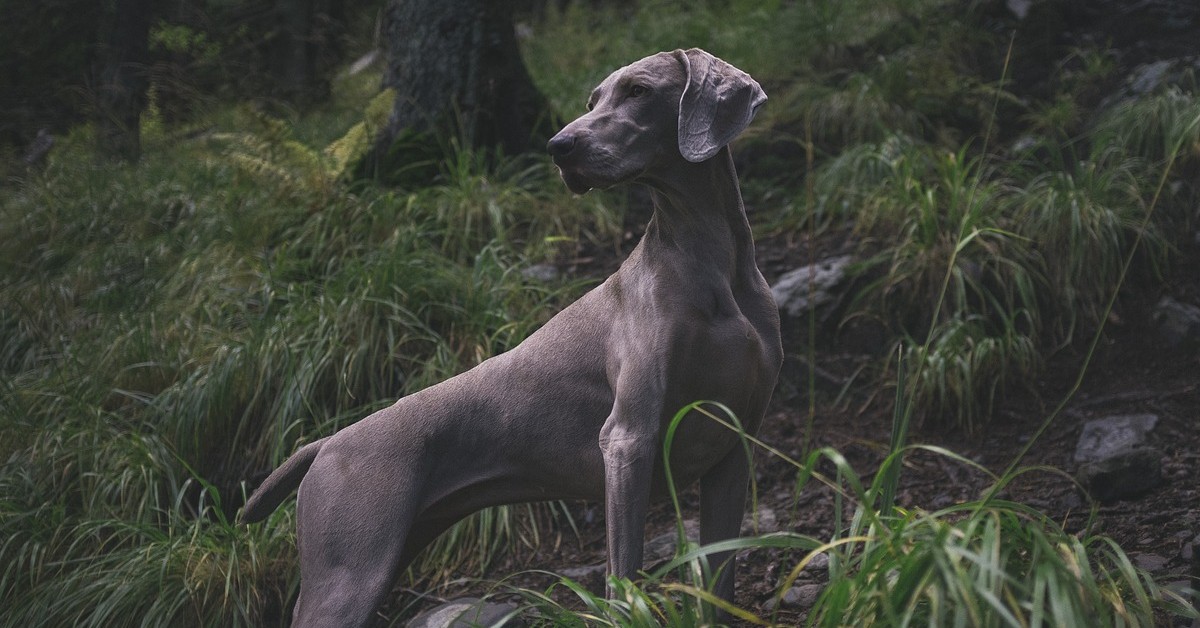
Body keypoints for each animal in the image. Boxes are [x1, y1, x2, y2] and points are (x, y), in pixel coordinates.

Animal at [243, 48, 787, 624]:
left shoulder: (734, 447)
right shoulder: (628, 440)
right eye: (592, 100)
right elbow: (624, 577)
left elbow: (721, 579)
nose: (558, 146)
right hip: (348, 574)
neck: (710, 261)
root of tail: (325, 443)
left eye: (638, 91)